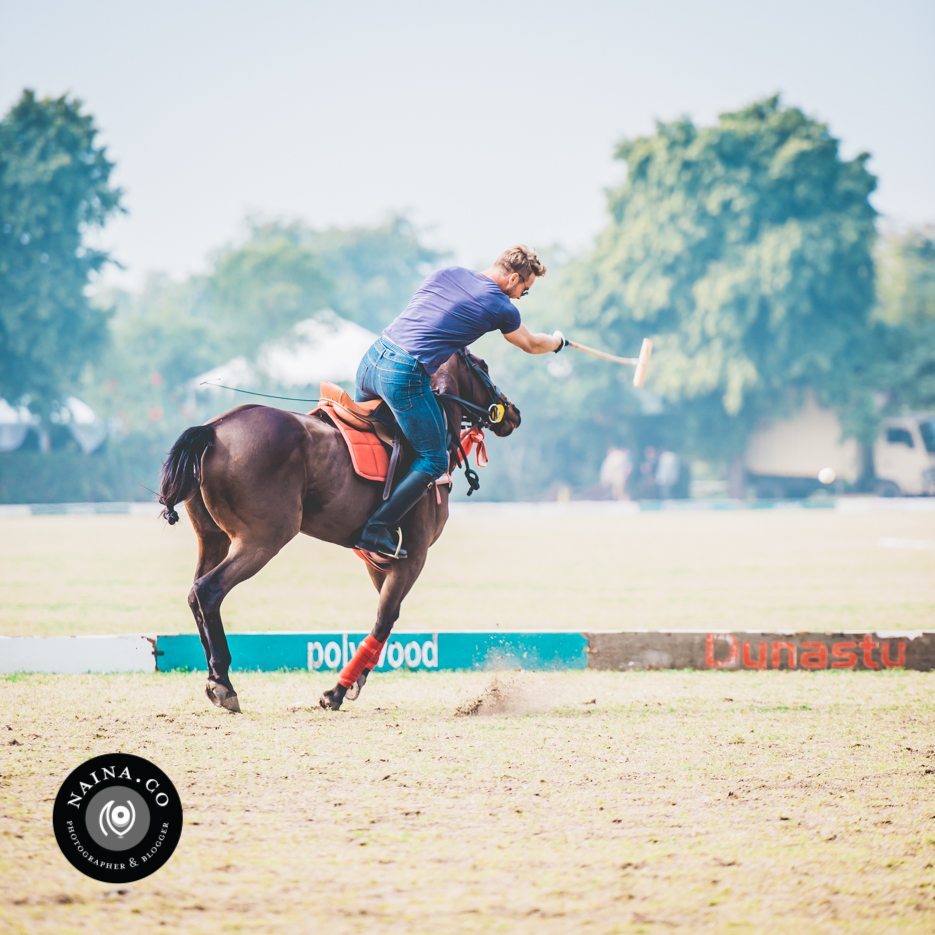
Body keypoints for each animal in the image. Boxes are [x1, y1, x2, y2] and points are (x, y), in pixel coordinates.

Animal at [159, 354, 520, 712]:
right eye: (483, 367)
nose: (512, 412)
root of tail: (213, 429)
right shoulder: (414, 555)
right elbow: (385, 617)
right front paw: (337, 691)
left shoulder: (378, 559)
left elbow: (387, 615)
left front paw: (355, 680)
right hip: (262, 539)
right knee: (209, 590)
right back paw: (223, 683)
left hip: (213, 539)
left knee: (194, 594)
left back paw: (214, 678)